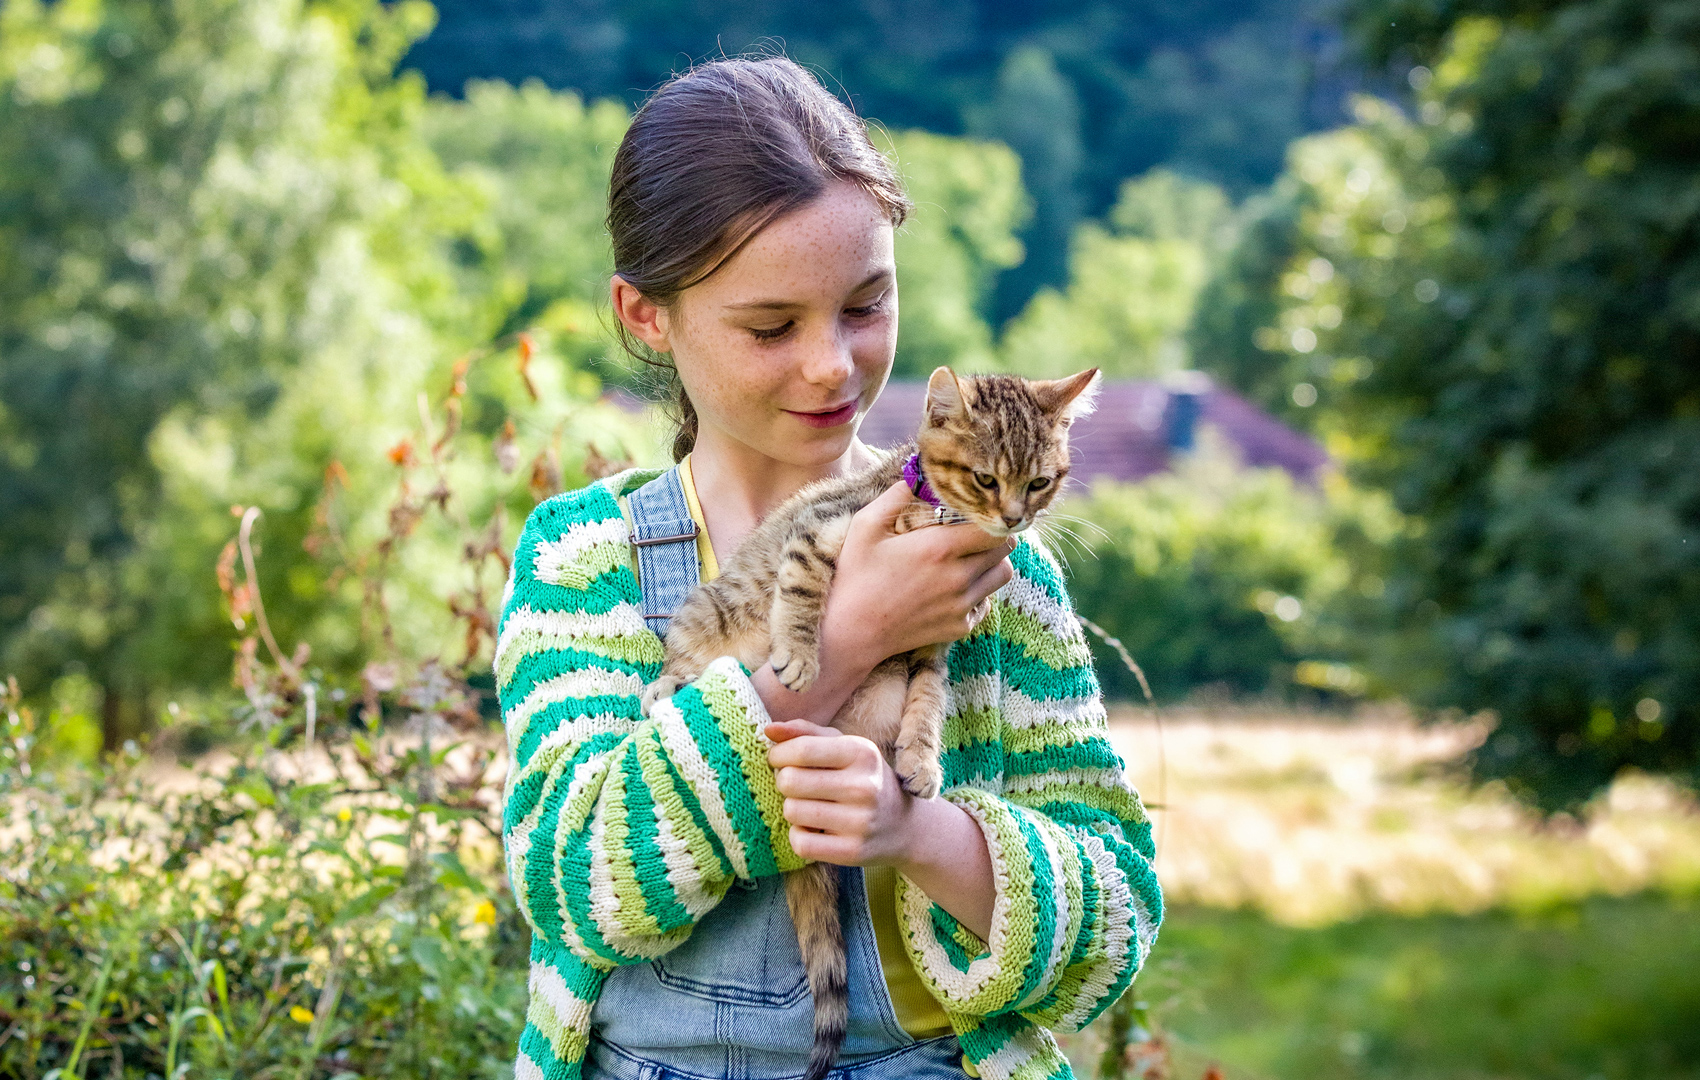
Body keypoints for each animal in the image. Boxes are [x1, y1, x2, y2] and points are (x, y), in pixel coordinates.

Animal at [639, 365, 1101, 1080]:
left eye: (1039, 482)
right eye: (986, 479)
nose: (1015, 518)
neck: (931, 516)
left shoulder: (932, 648)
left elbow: (928, 704)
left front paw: (921, 758)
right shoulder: (820, 532)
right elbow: (802, 589)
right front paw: (800, 654)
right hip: (705, 616)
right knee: (685, 658)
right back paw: (672, 685)